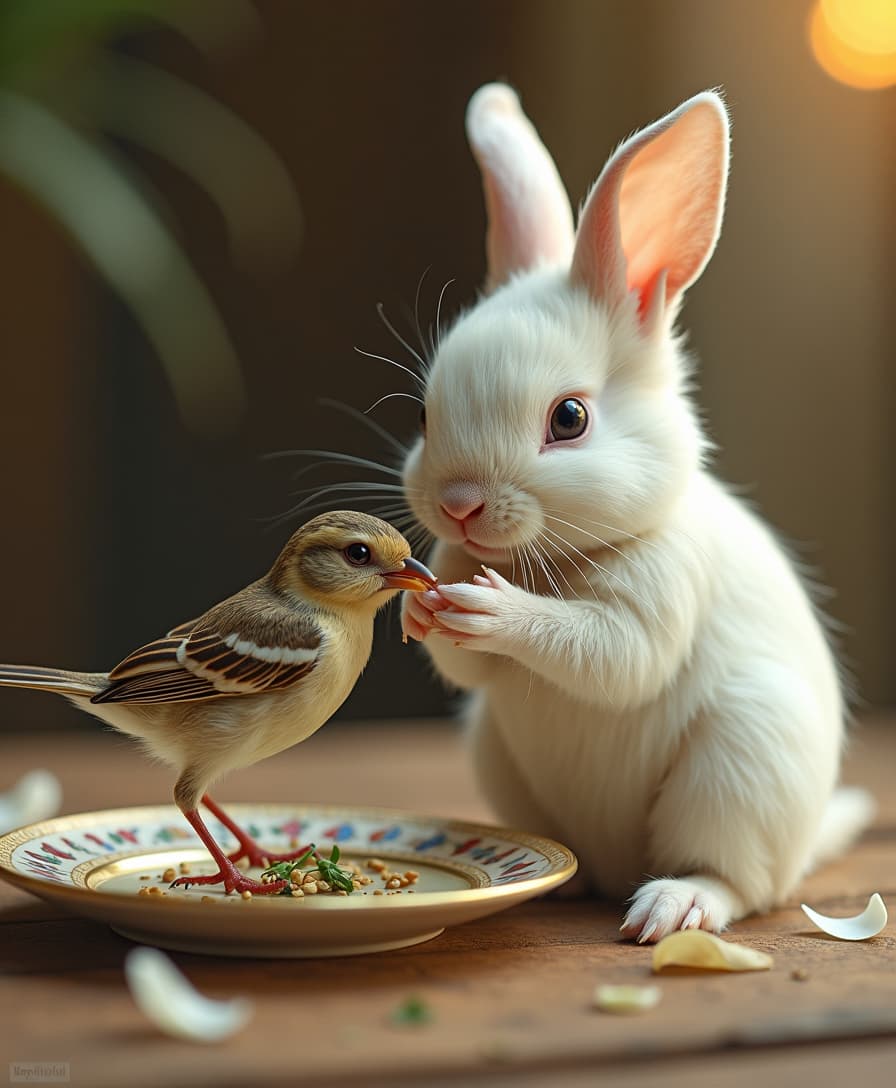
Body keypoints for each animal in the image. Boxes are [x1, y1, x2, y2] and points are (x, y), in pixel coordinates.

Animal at [399, 83, 874, 942]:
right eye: (424, 413)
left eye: (570, 419)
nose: (458, 506)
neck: (555, 556)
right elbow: (464, 665)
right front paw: (424, 612)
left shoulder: (660, 593)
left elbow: (608, 654)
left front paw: (492, 609)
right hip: (500, 756)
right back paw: (555, 885)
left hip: (741, 765)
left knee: (735, 882)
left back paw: (669, 905)